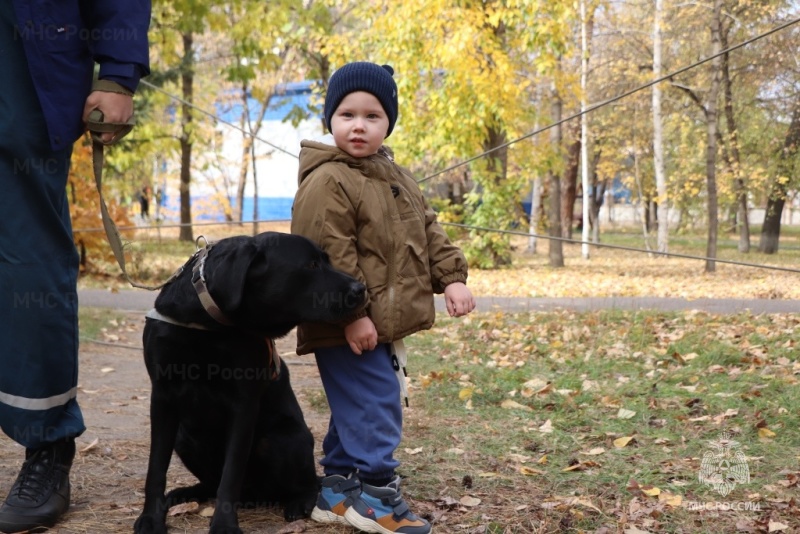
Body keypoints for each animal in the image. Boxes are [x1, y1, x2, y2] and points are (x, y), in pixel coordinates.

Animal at [134, 234, 366, 534]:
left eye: (326, 260)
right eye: (312, 265)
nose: (361, 288)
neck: (212, 325)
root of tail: (255, 495)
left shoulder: (243, 405)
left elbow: (231, 474)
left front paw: (223, 525)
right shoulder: (163, 397)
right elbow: (156, 467)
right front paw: (151, 517)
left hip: (282, 439)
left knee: (307, 483)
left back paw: (299, 502)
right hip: (184, 438)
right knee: (211, 482)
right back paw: (184, 493)